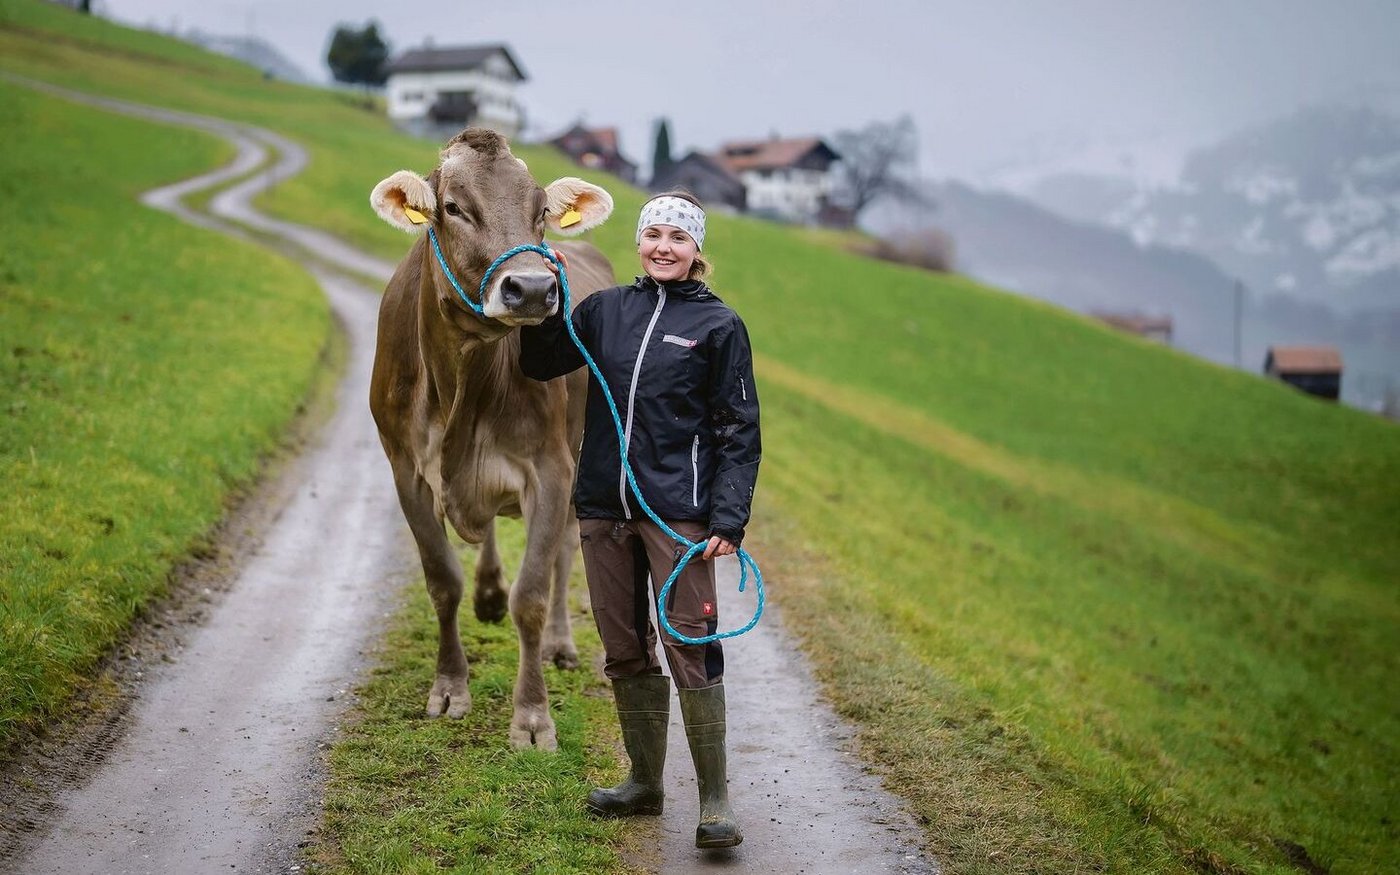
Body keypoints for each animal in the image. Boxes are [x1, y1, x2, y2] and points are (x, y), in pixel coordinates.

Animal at [368, 128, 616, 750]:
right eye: (454, 207)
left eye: (541, 212)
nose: (532, 289)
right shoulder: (405, 469)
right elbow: (442, 581)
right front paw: (449, 687)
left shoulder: (551, 469)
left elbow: (531, 595)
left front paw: (532, 718)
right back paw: (487, 593)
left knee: (564, 554)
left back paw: (560, 644)